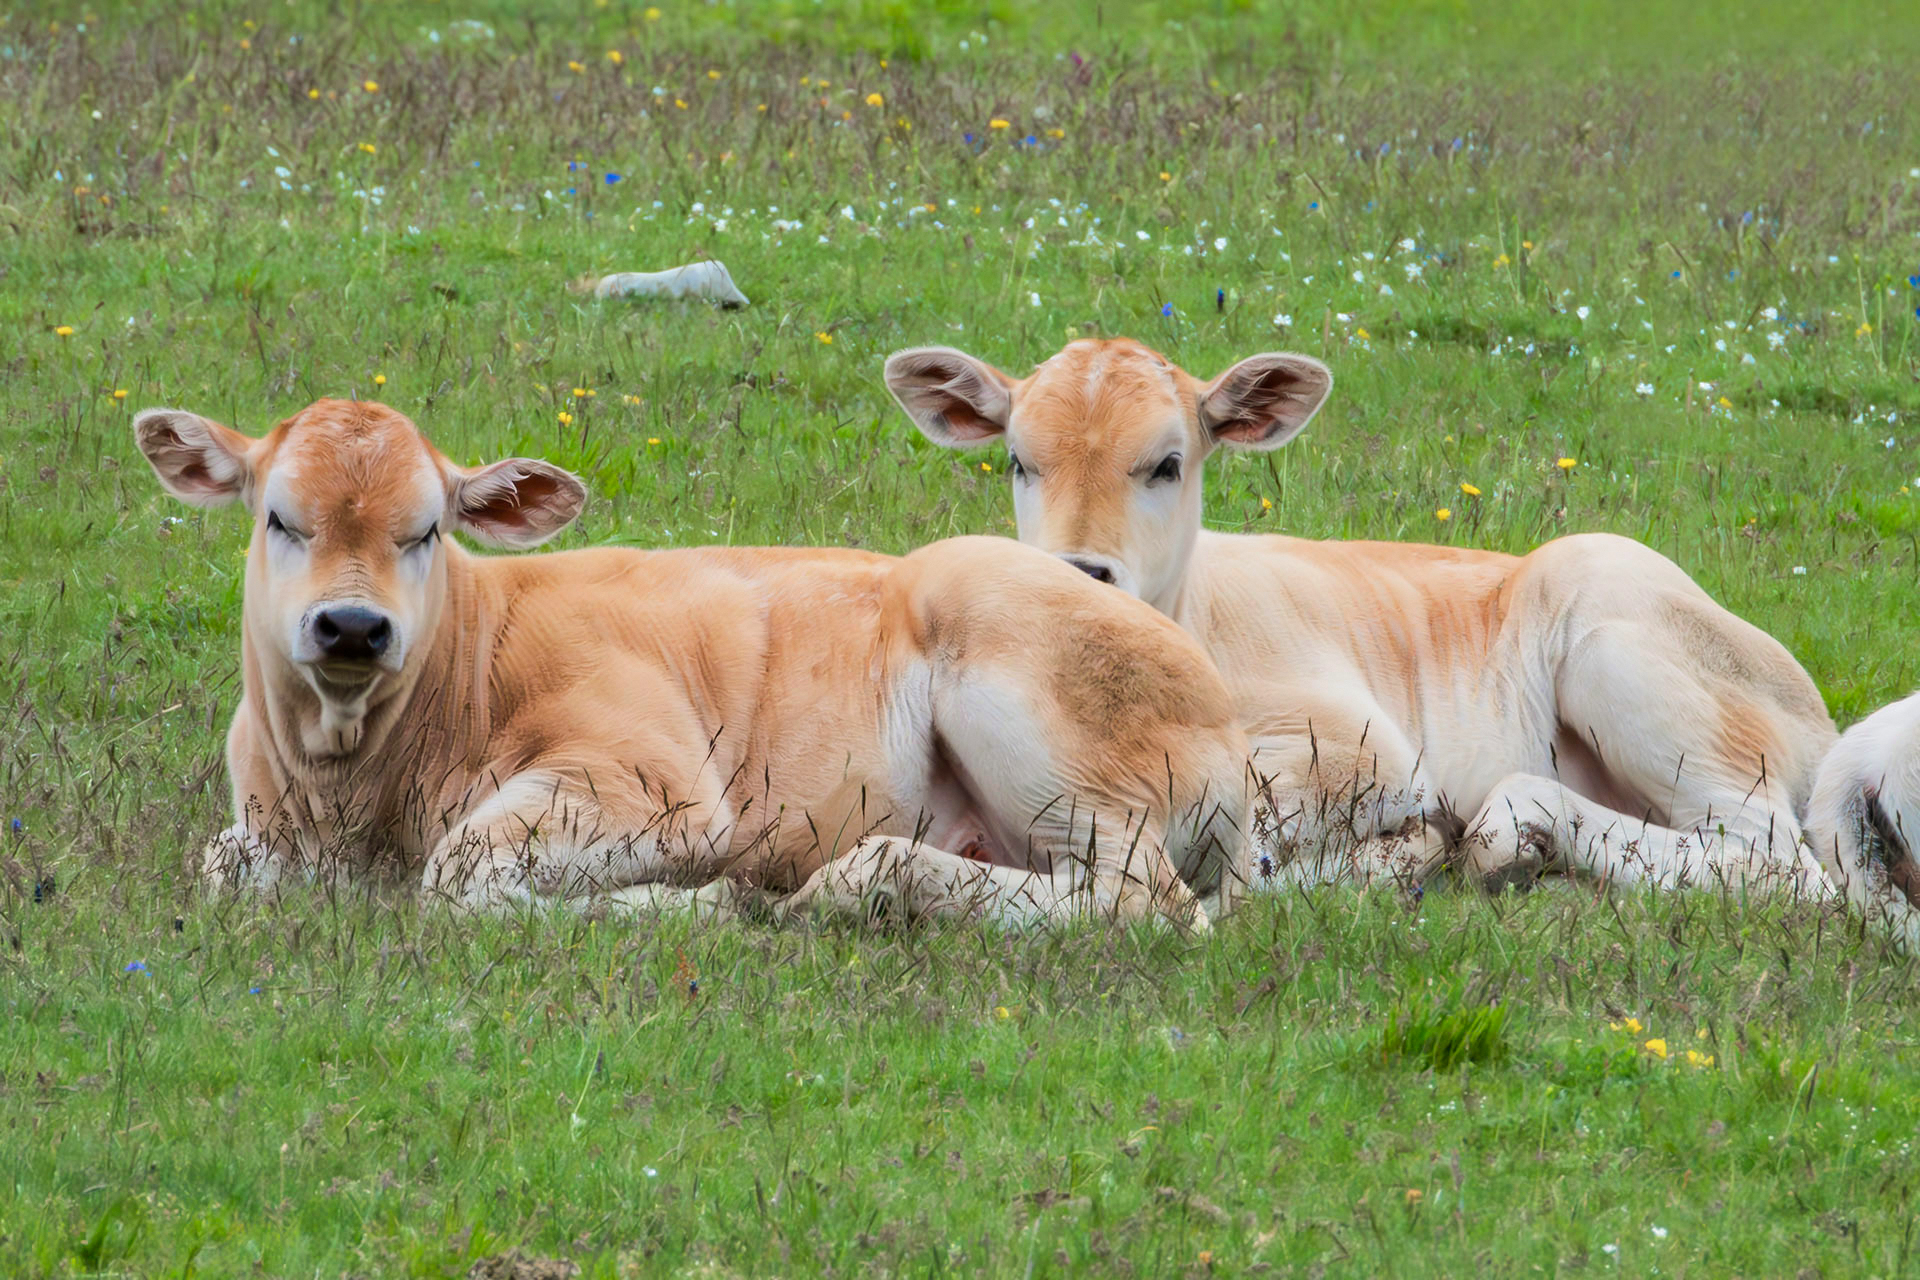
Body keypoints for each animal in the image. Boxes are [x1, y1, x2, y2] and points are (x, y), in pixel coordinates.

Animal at [133, 398, 1252, 930]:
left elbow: (461, 872)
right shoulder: (255, 831)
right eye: (279, 518)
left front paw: (703, 904)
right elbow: (220, 865)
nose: (354, 628)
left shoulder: (653, 785)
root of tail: (1222, 707)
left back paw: (858, 885)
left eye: (425, 530)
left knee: (1143, 900)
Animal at [883, 338, 1868, 910]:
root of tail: (1817, 717)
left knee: (1777, 862)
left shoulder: (1365, 747)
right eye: (1019, 460)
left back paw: (1516, 831)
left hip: (1630, 661)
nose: (1080, 572)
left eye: (1166, 462)